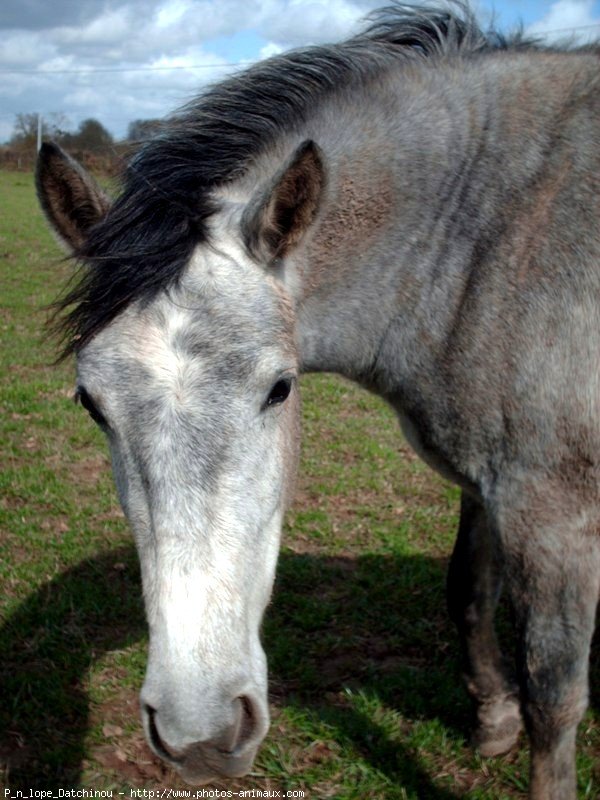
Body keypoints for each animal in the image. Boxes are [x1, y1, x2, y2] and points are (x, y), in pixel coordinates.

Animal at [36, 3, 600, 796]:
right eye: (91, 403)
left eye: (280, 388)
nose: (200, 735)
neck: (495, 237)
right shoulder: (491, 485)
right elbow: (467, 592)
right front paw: (494, 720)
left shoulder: (554, 512)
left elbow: (554, 692)